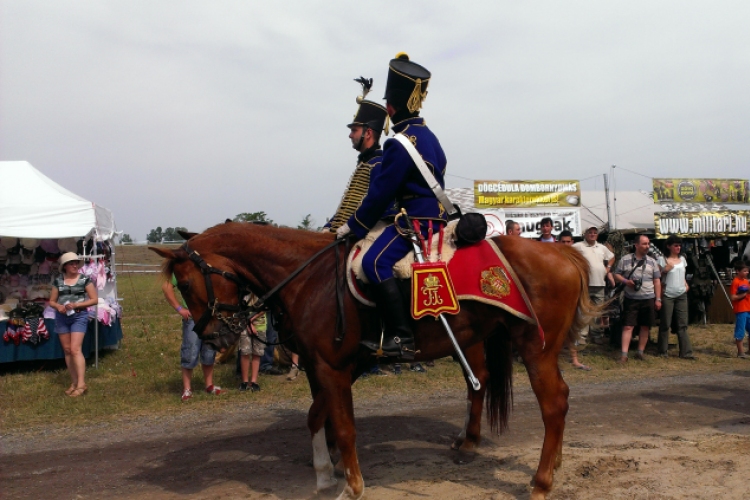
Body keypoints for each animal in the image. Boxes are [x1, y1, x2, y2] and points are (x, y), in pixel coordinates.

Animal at [151, 224, 600, 500]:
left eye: (185, 282)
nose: (212, 337)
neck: (307, 278)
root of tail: (566, 255)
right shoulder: (329, 366)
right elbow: (317, 417)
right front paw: (323, 472)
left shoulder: (332, 368)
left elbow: (344, 427)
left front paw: (350, 485)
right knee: (509, 388)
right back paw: (520, 453)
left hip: (535, 348)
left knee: (553, 403)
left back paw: (541, 480)